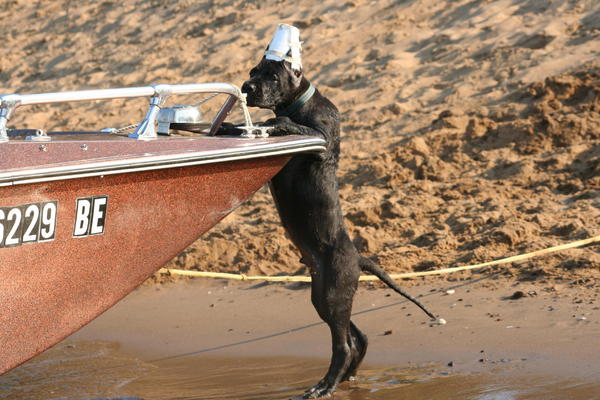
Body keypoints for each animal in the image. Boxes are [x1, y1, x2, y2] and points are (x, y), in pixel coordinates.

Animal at [220, 24, 436, 396]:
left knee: (343, 344)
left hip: (333, 294)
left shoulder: (319, 139)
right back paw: (344, 378)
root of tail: (358, 257)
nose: (247, 87)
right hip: (325, 297)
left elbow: (292, 125)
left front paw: (277, 122)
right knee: (356, 337)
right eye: (252, 71)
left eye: (271, 76)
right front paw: (228, 126)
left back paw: (324, 386)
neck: (300, 104)